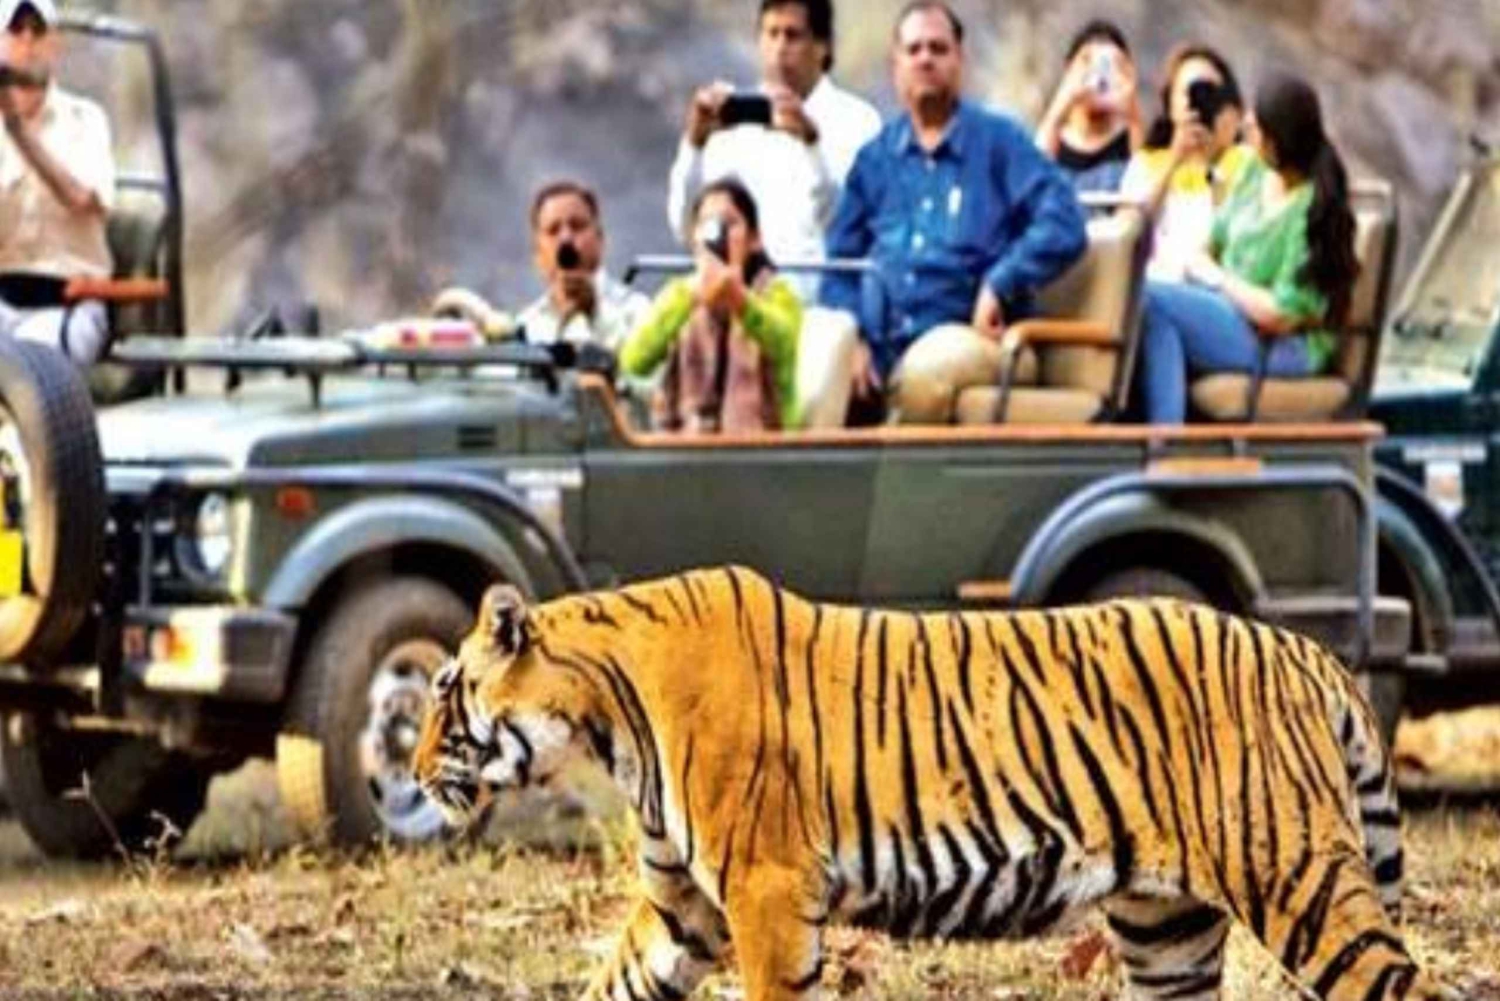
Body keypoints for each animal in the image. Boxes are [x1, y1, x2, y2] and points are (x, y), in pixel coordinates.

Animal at [413, 565, 1451, 1000]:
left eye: (446, 689)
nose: (417, 772)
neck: (608, 711)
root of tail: (1304, 649)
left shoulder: (766, 890)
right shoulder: (686, 907)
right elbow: (618, 981)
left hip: (1299, 883)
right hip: (1169, 932)